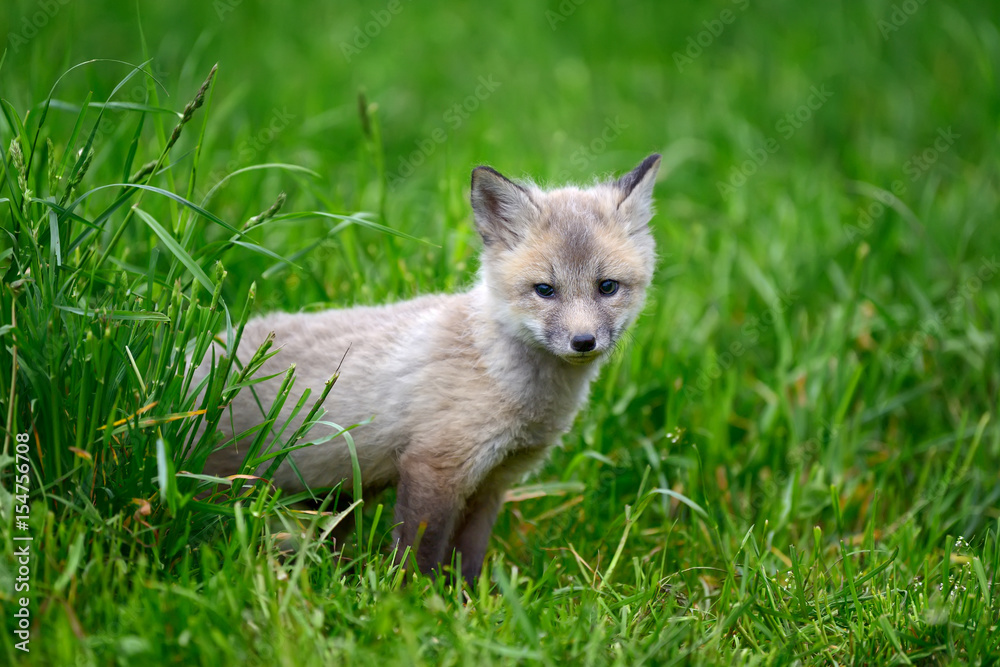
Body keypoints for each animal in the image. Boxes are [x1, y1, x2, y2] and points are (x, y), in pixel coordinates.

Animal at [199, 154, 660, 580]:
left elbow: (469, 557)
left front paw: (469, 600)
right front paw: (409, 599)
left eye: (607, 287)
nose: (583, 342)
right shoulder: (435, 466)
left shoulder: (493, 482)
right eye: (545, 290)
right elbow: (417, 554)